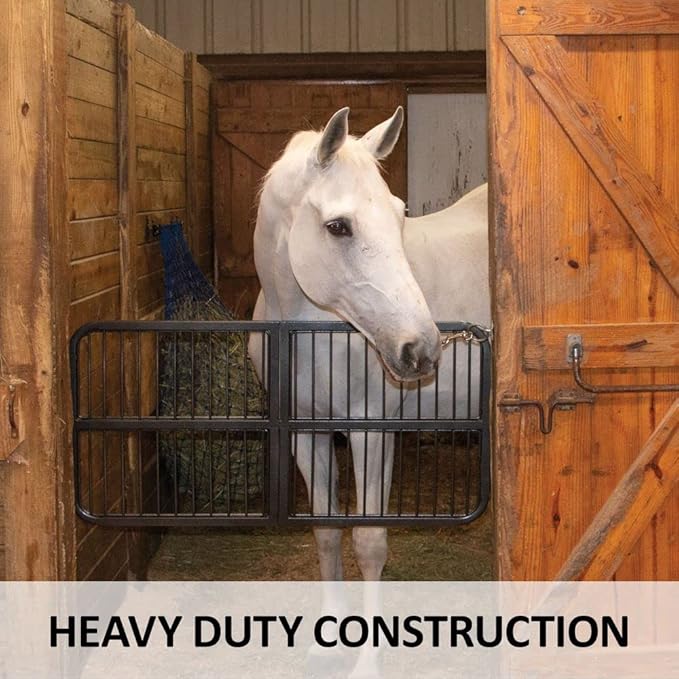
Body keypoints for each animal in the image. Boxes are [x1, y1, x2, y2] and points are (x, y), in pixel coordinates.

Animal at [248, 106, 489, 677]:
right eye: (338, 226)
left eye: (400, 215)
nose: (421, 349)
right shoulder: (307, 434)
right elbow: (327, 531)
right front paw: (327, 639)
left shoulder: (372, 432)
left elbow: (370, 541)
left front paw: (368, 663)